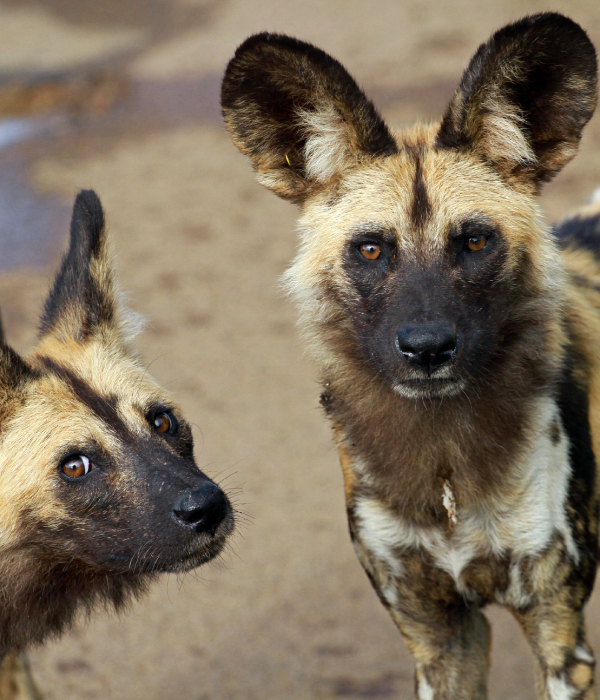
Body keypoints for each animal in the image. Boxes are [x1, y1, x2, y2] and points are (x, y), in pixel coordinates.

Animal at [223, 10, 600, 700]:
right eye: (371, 250)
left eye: (475, 242)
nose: (427, 349)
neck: (445, 462)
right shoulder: (438, 634)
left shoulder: (559, 633)